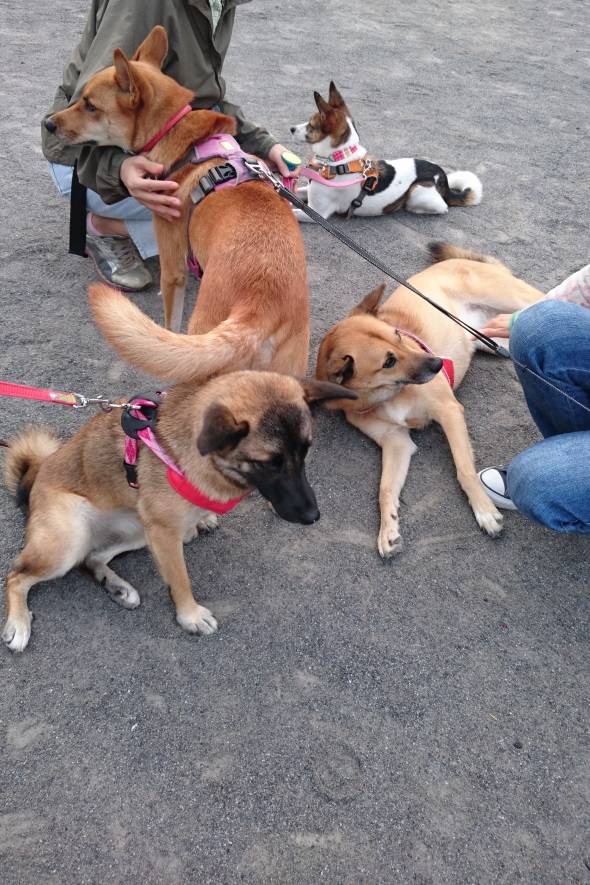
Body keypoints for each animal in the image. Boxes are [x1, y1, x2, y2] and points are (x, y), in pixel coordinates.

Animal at [1, 371, 356, 652]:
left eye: (305, 451)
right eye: (268, 463)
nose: (312, 516)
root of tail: (35, 479)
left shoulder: (160, 532)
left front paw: (203, 520)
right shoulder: (165, 534)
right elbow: (180, 580)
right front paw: (190, 616)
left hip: (137, 528)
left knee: (92, 558)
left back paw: (117, 587)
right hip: (71, 539)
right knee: (17, 576)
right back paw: (18, 623)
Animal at [290, 82, 482, 222]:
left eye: (311, 124)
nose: (291, 128)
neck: (339, 161)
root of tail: (442, 176)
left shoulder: (316, 213)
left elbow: (292, 211)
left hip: (417, 192)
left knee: (443, 207)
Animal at [314, 243, 544, 557]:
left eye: (398, 336)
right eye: (388, 362)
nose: (438, 363)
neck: (390, 394)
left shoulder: (449, 411)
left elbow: (464, 468)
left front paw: (484, 511)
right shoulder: (396, 443)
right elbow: (385, 489)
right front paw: (388, 530)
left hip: (521, 301)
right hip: (497, 341)